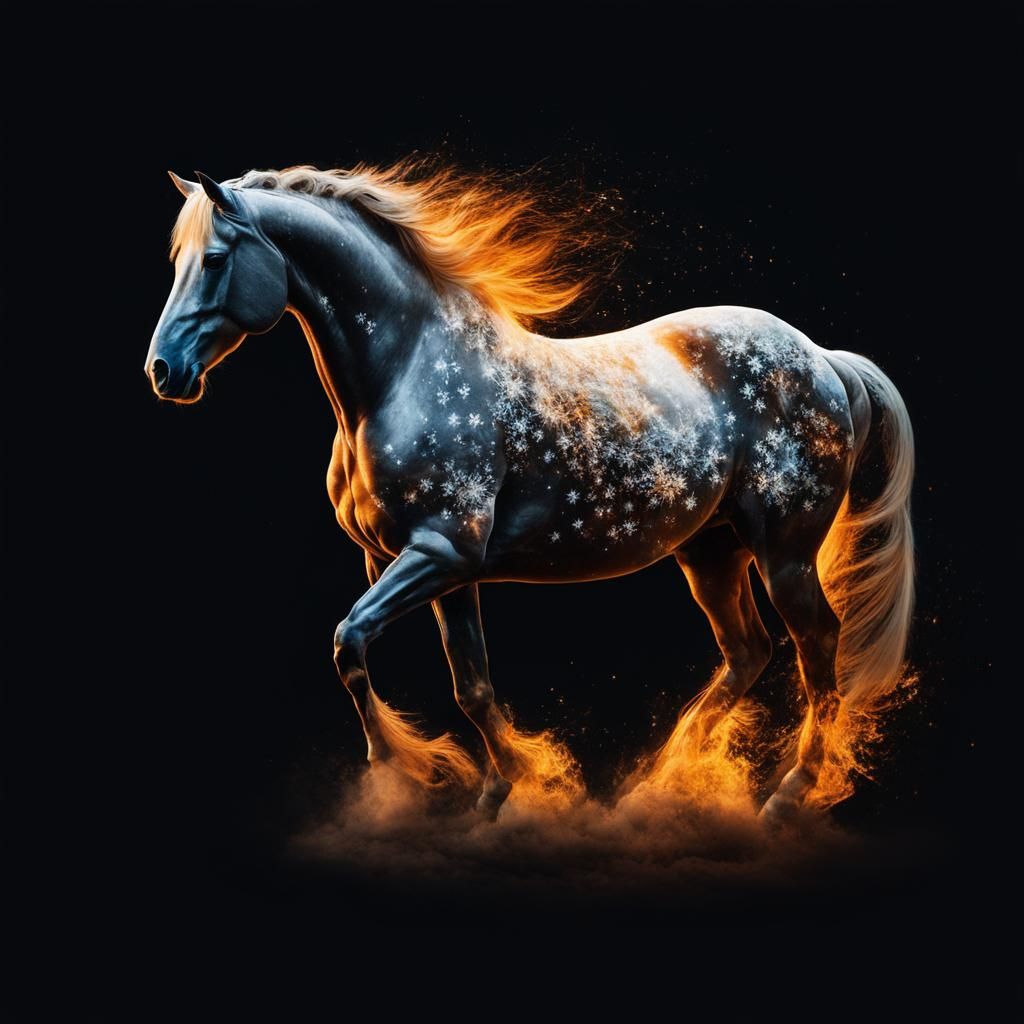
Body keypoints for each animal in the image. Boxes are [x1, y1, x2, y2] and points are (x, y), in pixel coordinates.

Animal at [145, 161, 915, 824]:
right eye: (177, 261)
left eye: (213, 260)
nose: (162, 371)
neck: (407, 372)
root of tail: (822, 360)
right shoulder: (427, 568)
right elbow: (469, 682)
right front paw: (505, 786)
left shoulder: (438, 553)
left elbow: (350, 641)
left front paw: (404, 774)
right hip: (710, 552)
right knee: (747, 652)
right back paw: (652, 787)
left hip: (783, 552)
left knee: (818, 647)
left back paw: (787, 796)